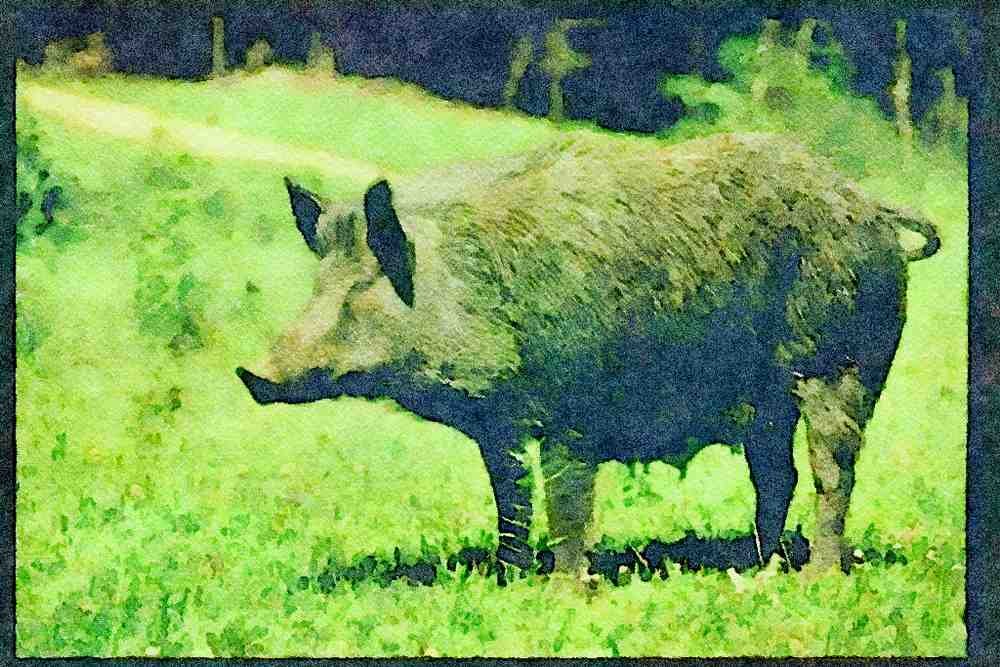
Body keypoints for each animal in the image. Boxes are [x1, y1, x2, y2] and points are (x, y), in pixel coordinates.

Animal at [237, 131, 940, 577]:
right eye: (319, 280)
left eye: (366, 283)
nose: (254, 372)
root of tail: (871, 208)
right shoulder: (499, 423)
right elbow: (510, 500)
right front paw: (507, 578)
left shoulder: (574, 407)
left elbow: (567, 500)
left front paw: (563, 589)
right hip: (769, 402)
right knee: (776, 474)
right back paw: (763, 567)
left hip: (840, 364)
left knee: (833, 471)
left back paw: (817, 577)